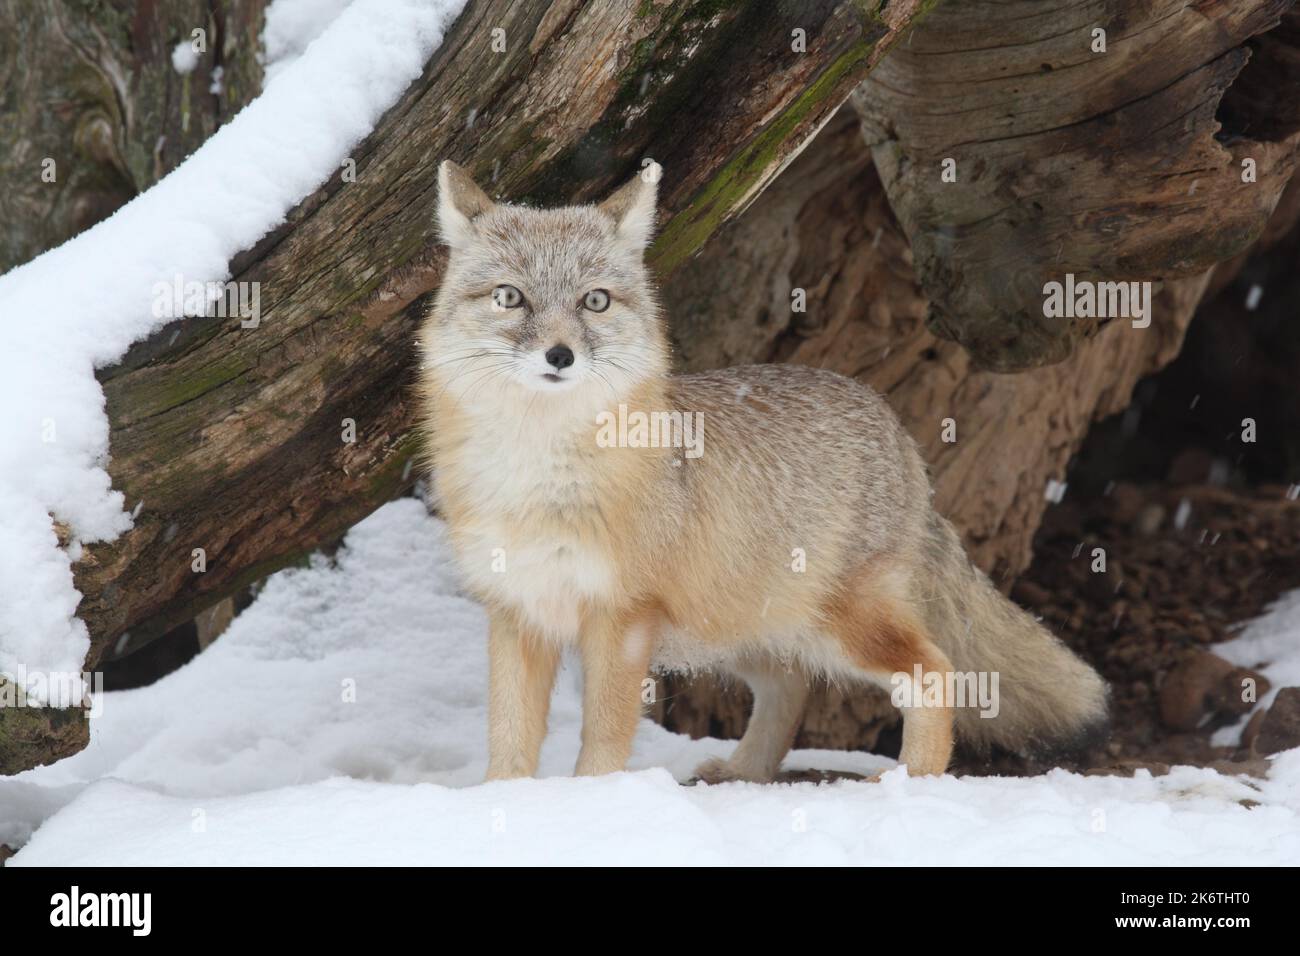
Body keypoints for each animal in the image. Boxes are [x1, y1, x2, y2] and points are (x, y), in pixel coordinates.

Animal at [418, 158, 1107, 785]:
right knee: (791, 687)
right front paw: (503, 807)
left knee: (935, 671)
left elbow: (604, 738)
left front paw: (596, 802)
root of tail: (897, 431)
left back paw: (909, 784)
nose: (559, 355)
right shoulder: (517, 612)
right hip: (746, 629)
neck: (537, 479)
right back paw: (746, 774)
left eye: (595, 301)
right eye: (510, 297)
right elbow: (509, 737)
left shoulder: (622, 618)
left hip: (839, 625)